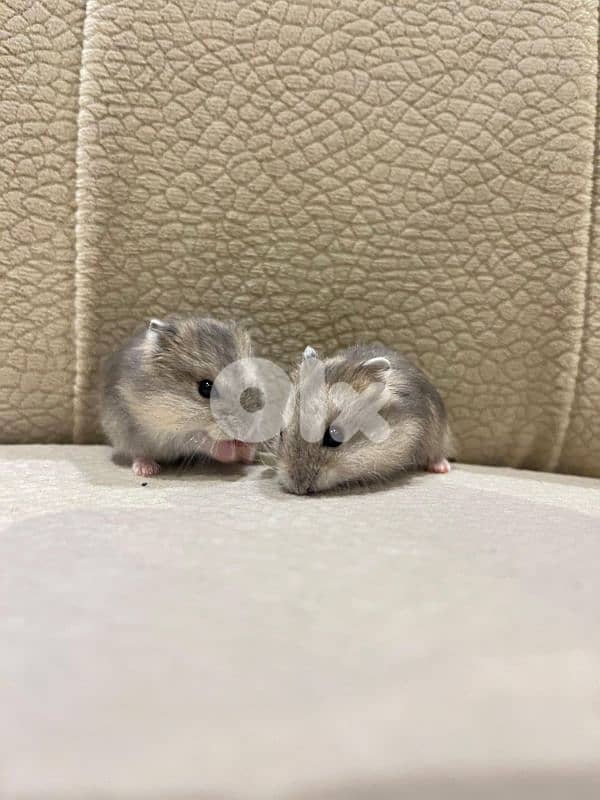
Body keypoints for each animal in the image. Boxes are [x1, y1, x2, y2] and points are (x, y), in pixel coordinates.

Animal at [100, 315, 257, 476]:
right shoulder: (171, 433)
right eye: (206, 388)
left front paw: (247, 448)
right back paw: (147, 469)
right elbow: (206, 442)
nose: (247, 432)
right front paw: (232, 450)